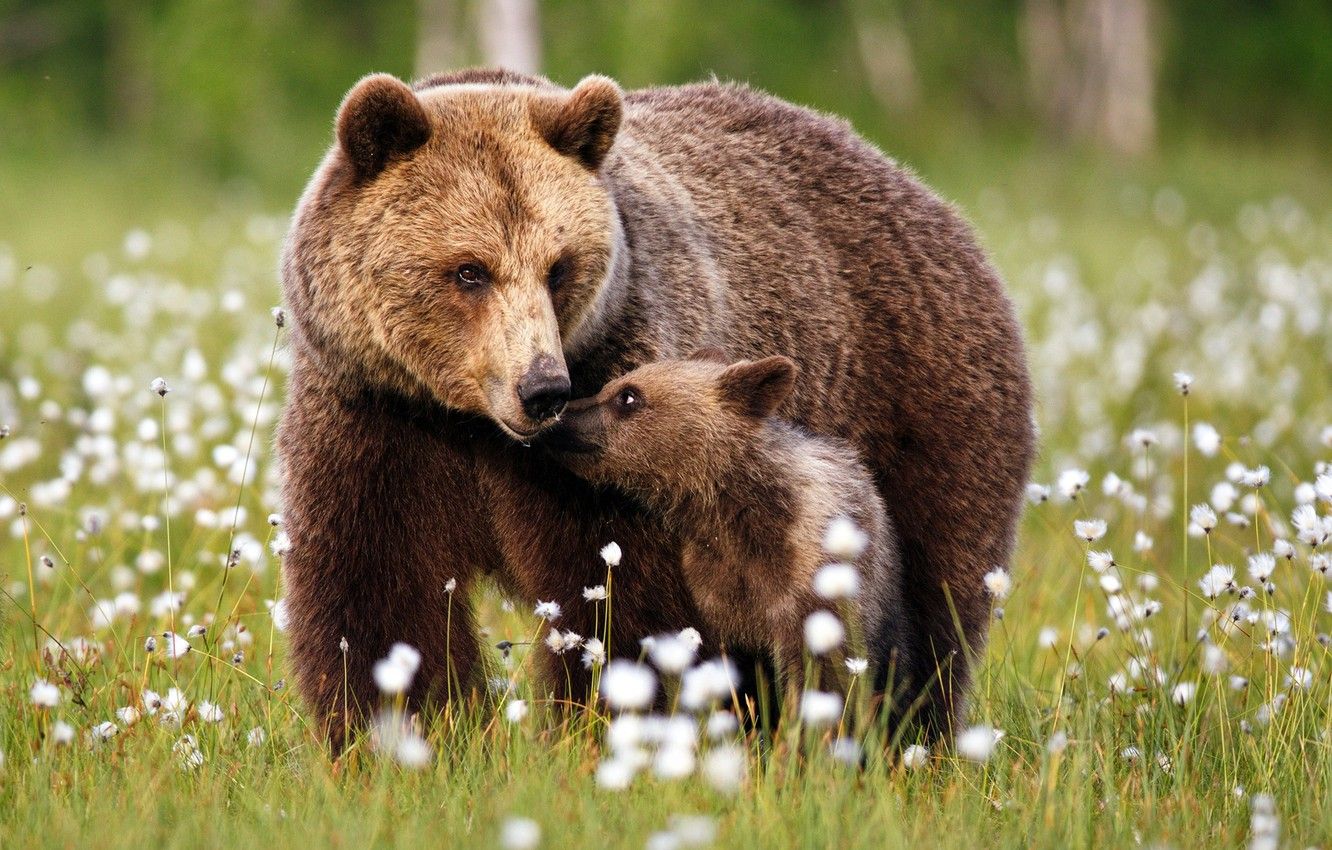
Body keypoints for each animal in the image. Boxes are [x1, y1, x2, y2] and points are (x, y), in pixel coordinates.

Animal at [544, 352, 912, 715]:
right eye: (612, 386)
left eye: (628, 395)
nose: (559, 415)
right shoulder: (713, 587)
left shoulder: (814, 589)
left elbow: (821, 674)